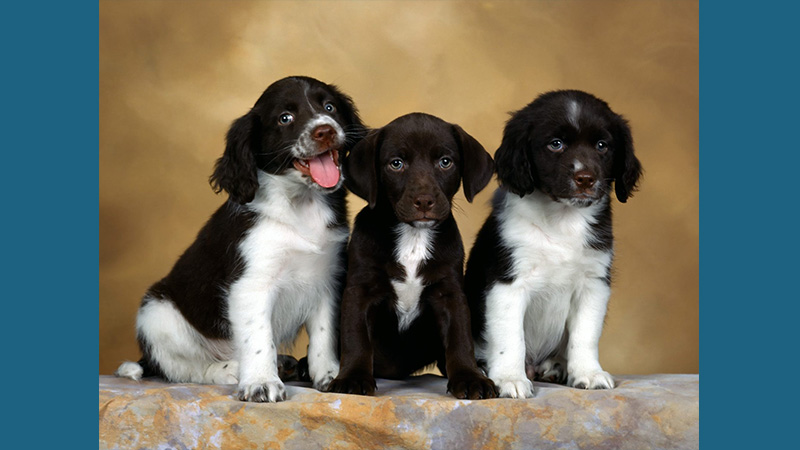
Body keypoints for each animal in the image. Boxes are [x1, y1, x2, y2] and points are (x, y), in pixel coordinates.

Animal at [115, 75, 366, 402]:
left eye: (329, 107)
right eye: (285, 118)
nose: (325, 130)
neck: (300, 206)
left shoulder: (328, 279)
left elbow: (324, 335)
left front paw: (331, 375)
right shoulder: (250, 285)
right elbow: (258, 338)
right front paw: (261, 381)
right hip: (157, 313)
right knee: (181, 368)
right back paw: (231, 370)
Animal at [328, 113, 496, 400]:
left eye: (445, 162)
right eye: (396, 164)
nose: (424, 201)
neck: (413, 236)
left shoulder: (450, 293)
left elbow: (460, 339)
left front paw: (470, 377)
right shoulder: (359, 290)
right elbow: (355, 337)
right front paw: (353, 377)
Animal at [462, 90, 644, 398]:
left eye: (602, 146)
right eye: (555, 144)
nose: (586, 179)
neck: (562, 221)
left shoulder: (593, 283)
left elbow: (585, 334)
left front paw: (588, 373)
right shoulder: (507, 282)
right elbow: (510, 337)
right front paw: (510, 378)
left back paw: (555, 366)